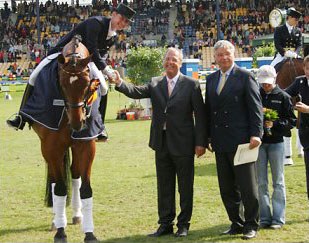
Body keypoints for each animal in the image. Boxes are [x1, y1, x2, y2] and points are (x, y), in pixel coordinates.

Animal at [25, 36, 100, 243]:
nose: (77, 123)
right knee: (53, 179)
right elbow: (58, 188)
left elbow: (86, 189)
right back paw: (56, 221)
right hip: (48, 149)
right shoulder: (52, 147)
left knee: (74, 175)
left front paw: (89, 233)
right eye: (63, 85)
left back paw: (76, 215)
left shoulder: (87, 145)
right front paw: (60, 232)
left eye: (87, 84)